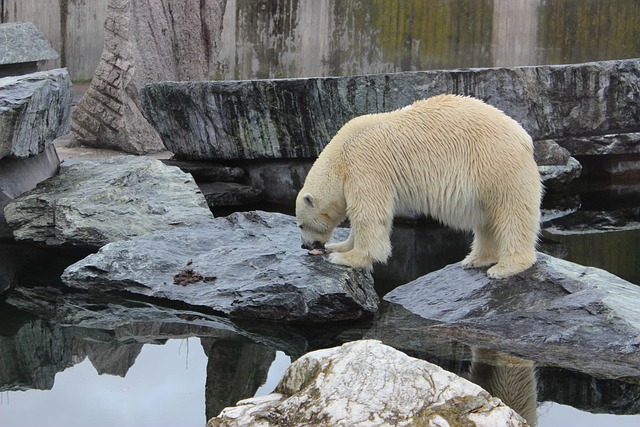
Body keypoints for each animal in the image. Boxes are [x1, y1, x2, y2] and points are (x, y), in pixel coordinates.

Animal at [295, 94, 542, 279]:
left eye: (300, 224)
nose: (305, 246)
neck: (340, 155)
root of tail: (524, 136)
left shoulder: (364, 166)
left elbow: (369, 215)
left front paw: (346, 258)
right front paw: (338, 246)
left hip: (496, 165)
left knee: (511, 213)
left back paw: (505, 267)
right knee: (487, 219)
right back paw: (475, 259)